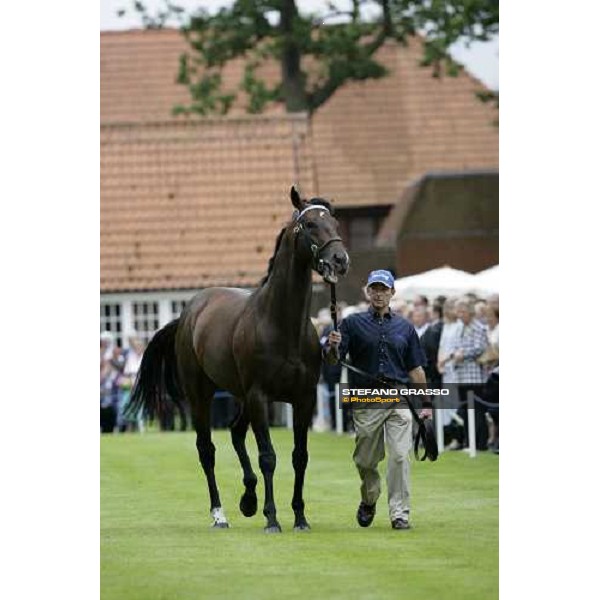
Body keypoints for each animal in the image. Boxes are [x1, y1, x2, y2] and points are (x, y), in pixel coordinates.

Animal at [129, 185, 350, 532]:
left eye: (336, 223)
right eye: (311, 224)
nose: (340, 260)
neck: (281, 324)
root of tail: (189, 312)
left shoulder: (303, 398)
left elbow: (299, 456)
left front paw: (300, 517)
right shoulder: (260, 396)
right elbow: (268, 457)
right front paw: (272, 518)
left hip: (242, 396)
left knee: (234, 432)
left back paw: (248, 499)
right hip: (202, 394)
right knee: (207, 449)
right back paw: (219, 514)